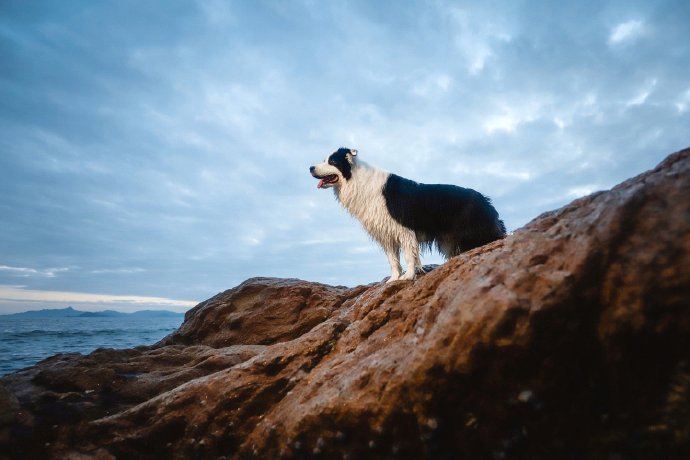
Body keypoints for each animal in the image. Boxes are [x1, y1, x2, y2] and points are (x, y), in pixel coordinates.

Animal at [310, 149, 502, 282]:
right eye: (324, 160)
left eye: (332, 161)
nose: (310, 168)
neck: (356, 180)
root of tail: (486, 200)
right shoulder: (386, 233)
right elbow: (393, 260)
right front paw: (393, 279)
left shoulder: (404, 228)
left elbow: (410, 256)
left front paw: (408, 276)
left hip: (473, 232)